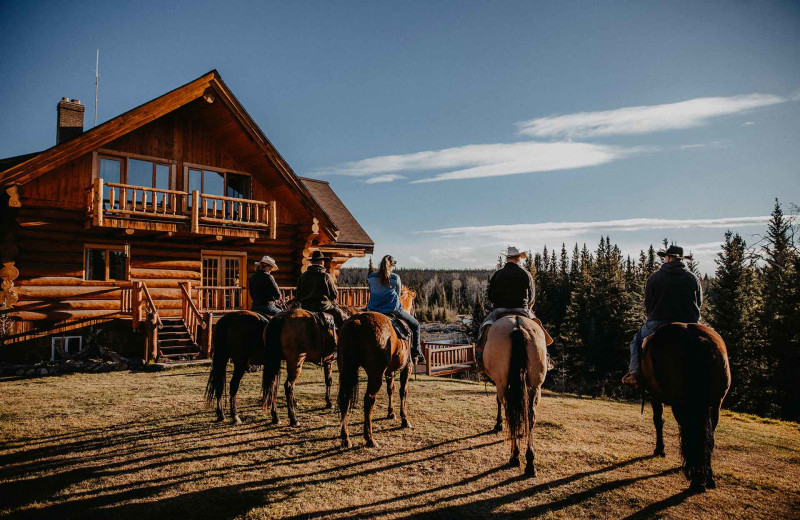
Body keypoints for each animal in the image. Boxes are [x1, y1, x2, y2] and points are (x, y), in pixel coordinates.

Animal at [336, 286, 416, 448]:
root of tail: (357, 322)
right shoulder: (407, 368)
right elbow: (403, 391)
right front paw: (404, 419)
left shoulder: (389, 371)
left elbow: (391, 389)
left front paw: (391, 413)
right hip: (375, 375)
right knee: (369, 399)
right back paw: (369, 438)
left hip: (346, 370)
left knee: (344, 399)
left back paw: (346, 438)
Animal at [482, 314, 552, 474]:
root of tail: (518, 326)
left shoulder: (499, 383)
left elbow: (498, 402)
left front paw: (498, 424)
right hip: (536, 385)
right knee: (530, 415)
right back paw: (530, 463)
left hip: (502, 383)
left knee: (510, 413)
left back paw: (514, 456)